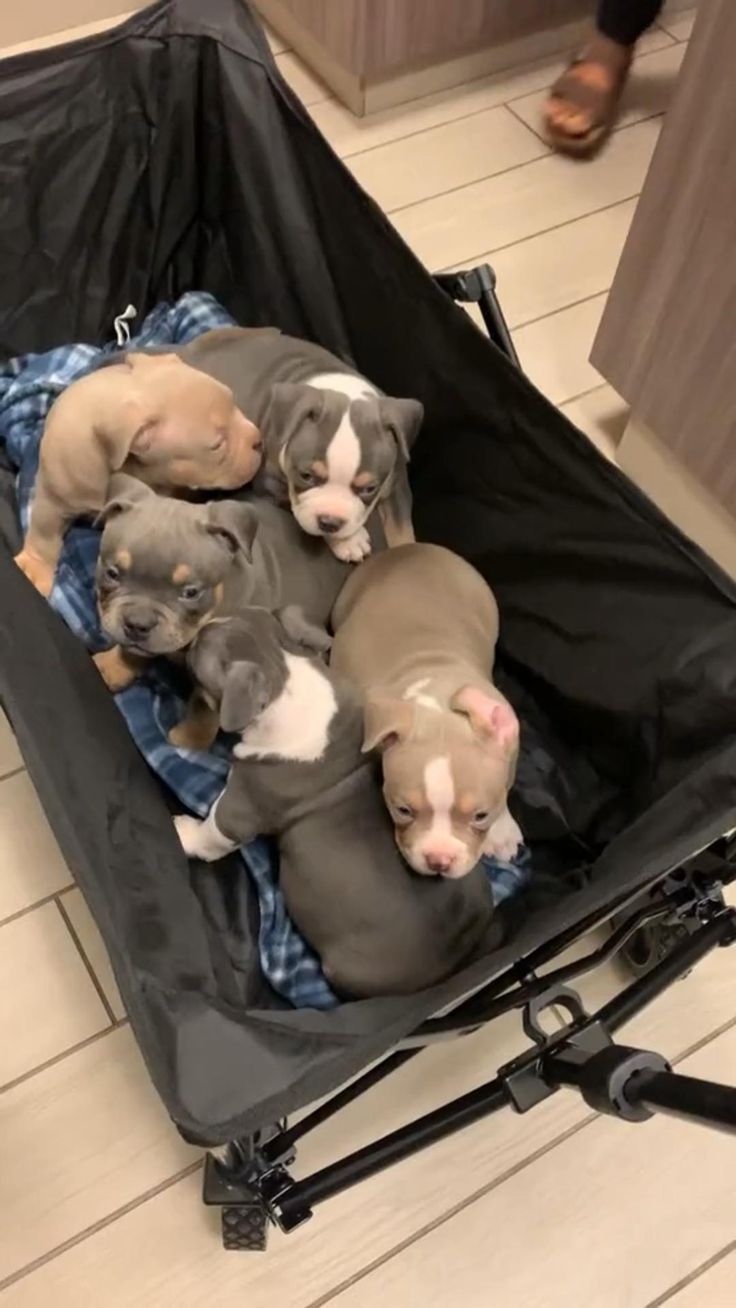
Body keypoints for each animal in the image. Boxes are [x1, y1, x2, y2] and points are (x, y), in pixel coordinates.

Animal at [13, 347, 265, 593]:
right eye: (217, 446)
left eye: (233, 401)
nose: (259, 441)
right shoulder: (53, 498)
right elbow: (44, 534)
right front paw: (35, 567)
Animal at [172, 612, 494, 999]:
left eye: (195, 659)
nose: (188, 640)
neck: (283, 674)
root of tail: (456, 959)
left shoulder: (242, 807)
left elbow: (212, 833)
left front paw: (183, 833)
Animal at [175, 327, 423, 562]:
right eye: (306, 476)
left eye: (369, 489)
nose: (330, 521)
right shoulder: (272, 487)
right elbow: (303, 510)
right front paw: (348, 541)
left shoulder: (397, 484)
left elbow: (403, 531)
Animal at [330, 541, 520, 878]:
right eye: (403, 810)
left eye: (481, 815)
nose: (439, 861)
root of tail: (410, 546)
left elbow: (506, 786)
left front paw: (502, 830)